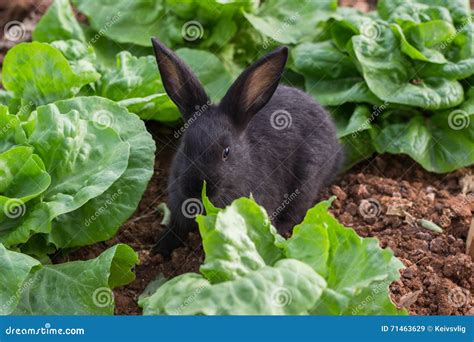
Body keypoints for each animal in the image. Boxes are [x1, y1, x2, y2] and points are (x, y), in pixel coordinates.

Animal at [152, 38, 344, 256]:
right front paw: (160, 249)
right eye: (185, 146)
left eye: (226, 152)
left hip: (307, 182)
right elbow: (175, 228)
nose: (197, 188)